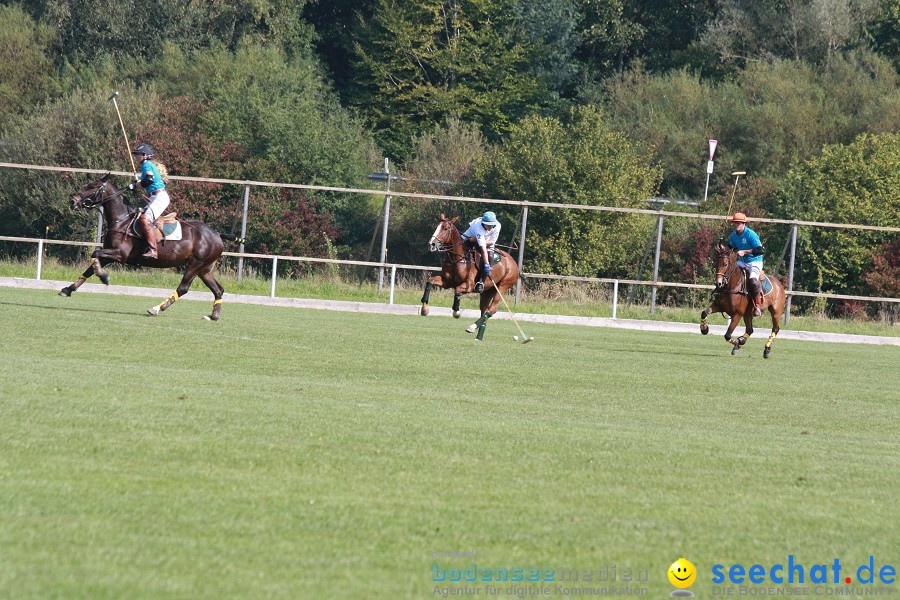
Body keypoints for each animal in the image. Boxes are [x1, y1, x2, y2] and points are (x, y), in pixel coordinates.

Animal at [61, 173, 241, 322]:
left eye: (92, 186)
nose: (73, 201)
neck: (121, 220)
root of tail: (217, 234)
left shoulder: (120, 254)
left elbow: (95, 253)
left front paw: (104, 277)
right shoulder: (109, 255)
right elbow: (90, 267)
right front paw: (68, 289)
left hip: (196, 264)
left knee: (183, 288)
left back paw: (156, 308)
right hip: (206, 268)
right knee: (218, 289)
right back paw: (213, 316)